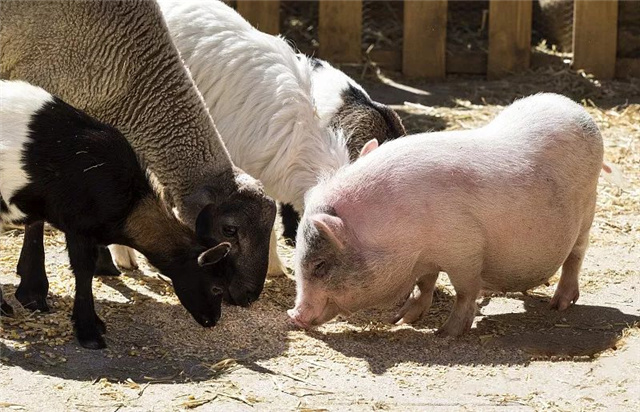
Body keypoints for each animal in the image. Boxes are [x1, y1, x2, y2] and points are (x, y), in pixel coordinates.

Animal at [290, 92, 604, 334]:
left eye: (319, 265)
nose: (293, 316)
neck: (399, 231)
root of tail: (576, 109)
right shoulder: (426, 256)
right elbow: (425, 283)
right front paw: (401, 320)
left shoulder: (466, 250)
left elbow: (464, 291)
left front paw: (446, 333)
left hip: (588, 210)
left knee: (576, 255)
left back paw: (558, 304)